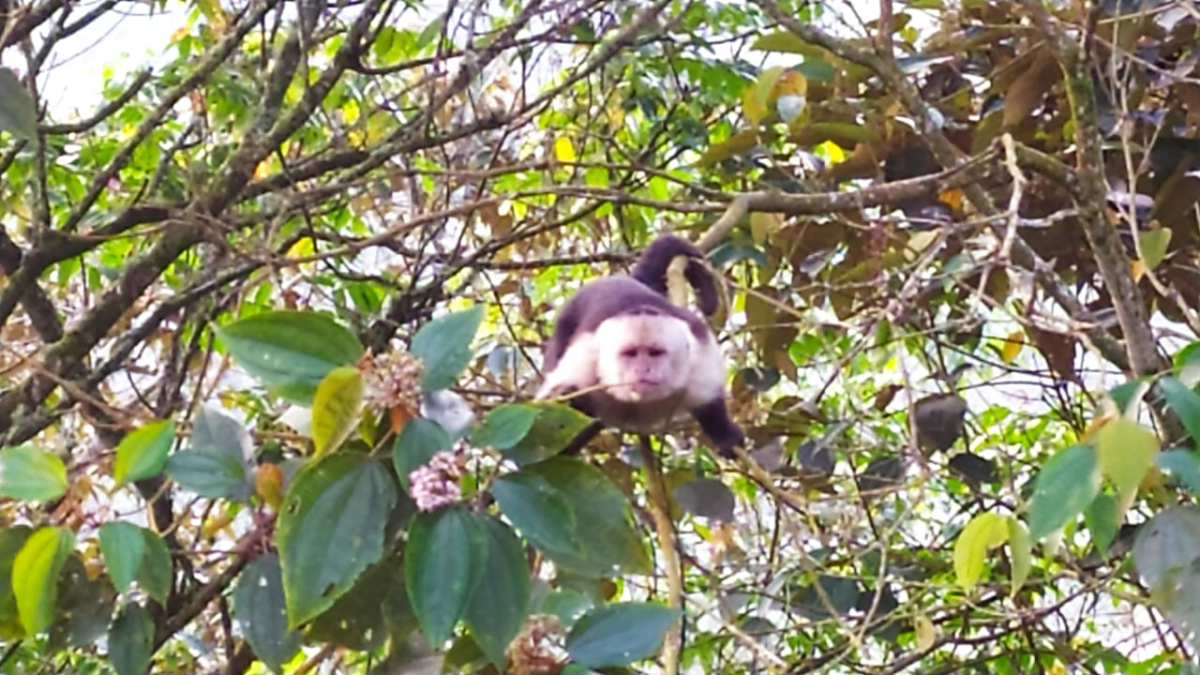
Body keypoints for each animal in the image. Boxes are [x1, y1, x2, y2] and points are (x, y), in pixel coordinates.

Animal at [535, 235, 745, 457]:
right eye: (630, 353)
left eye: (655, 353)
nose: (643, 369)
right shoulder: (584, 365)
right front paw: (565, 397)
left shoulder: (698, 359)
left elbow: (709, 400)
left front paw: (725, 435)